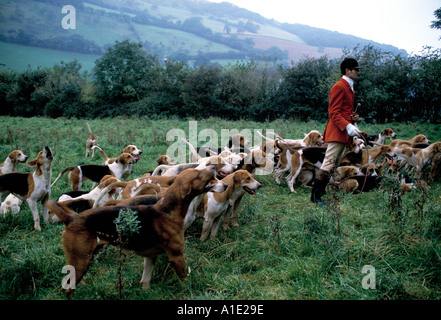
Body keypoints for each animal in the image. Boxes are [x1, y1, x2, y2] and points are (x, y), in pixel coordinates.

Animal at [46, 169, 227, 296]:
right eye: (200, 174)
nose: (225, 185)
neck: (168, 209)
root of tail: (72, 218)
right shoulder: (177, 256)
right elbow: (186, 281)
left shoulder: (150, 257)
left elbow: (145, 281)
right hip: (81, 261)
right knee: (67, 290)